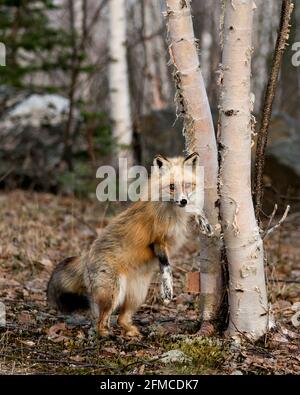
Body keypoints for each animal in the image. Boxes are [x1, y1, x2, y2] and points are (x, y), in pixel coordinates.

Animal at [47, 153, 211, 338]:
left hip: (138, 294)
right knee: (101, 320)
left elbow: (194, 211)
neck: (174, 212)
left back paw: (133, 333)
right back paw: (107, 335)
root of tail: (86, 256)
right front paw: (167, 289)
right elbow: (166, 266)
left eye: (187, 185)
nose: (183, 201)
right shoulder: (157, 240)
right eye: (171, 187)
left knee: (121, 319)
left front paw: (204, 222)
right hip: (113, 293)